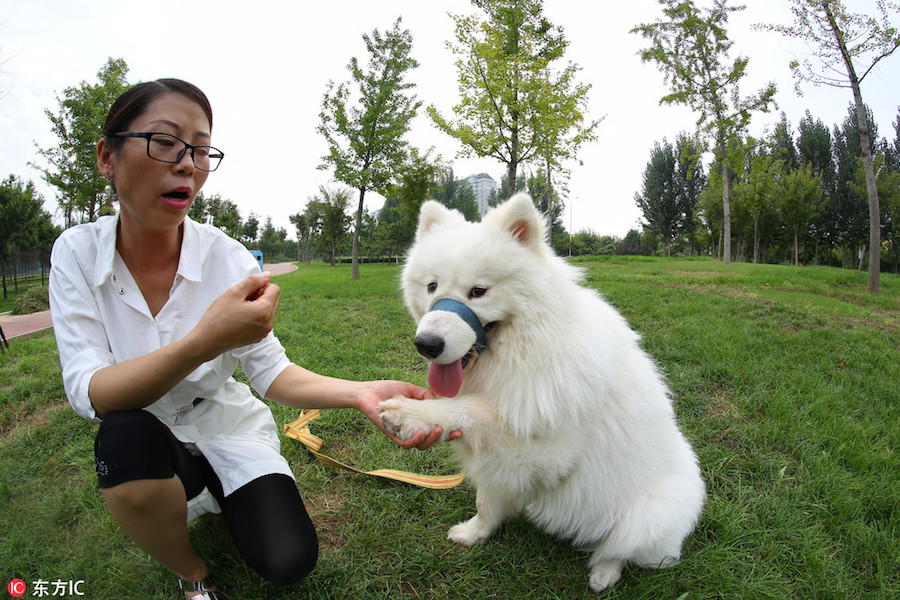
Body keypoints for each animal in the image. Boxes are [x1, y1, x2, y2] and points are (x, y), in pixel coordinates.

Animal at [376, 193, 708, 592]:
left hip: (649, 515)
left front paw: (412, 414)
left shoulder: (545, 452)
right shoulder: (501, 462)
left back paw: (603, 574)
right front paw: (476, 534)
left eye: (478, 292)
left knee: (619, 548)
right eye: (431, 287)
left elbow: (471, 409)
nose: (426, 344)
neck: (526, 348)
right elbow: (486, 500)